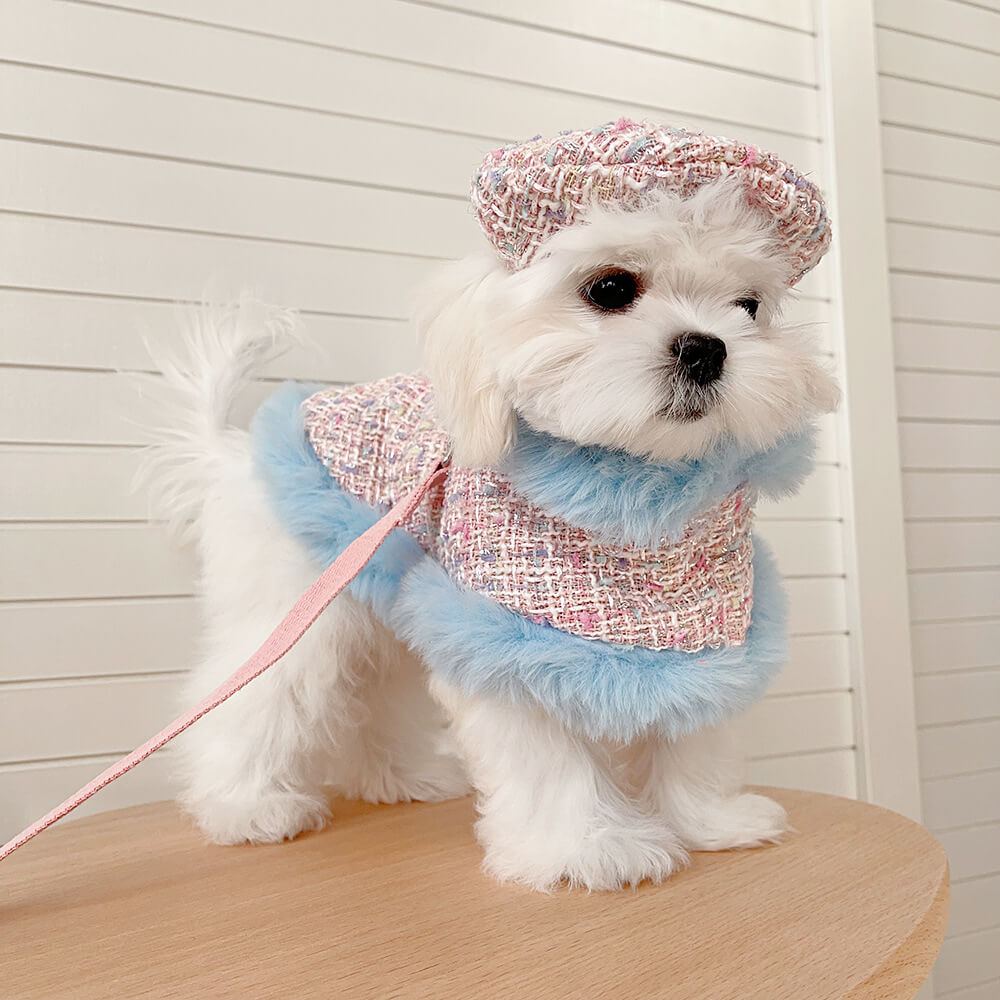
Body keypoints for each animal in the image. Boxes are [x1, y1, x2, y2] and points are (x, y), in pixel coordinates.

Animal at [146, 119, 836, 892]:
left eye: (749, 307)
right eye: (610, 287)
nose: (706, 349)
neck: (636, 493)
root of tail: (234, 449)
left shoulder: (709, 629)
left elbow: (698, 731)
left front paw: (710, 821)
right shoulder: (507, 635)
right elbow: (547, 760)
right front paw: (587, 847)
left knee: (375, 694)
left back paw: (402, 777)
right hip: (299, 605)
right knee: (253, 697)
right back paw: (247, 807)